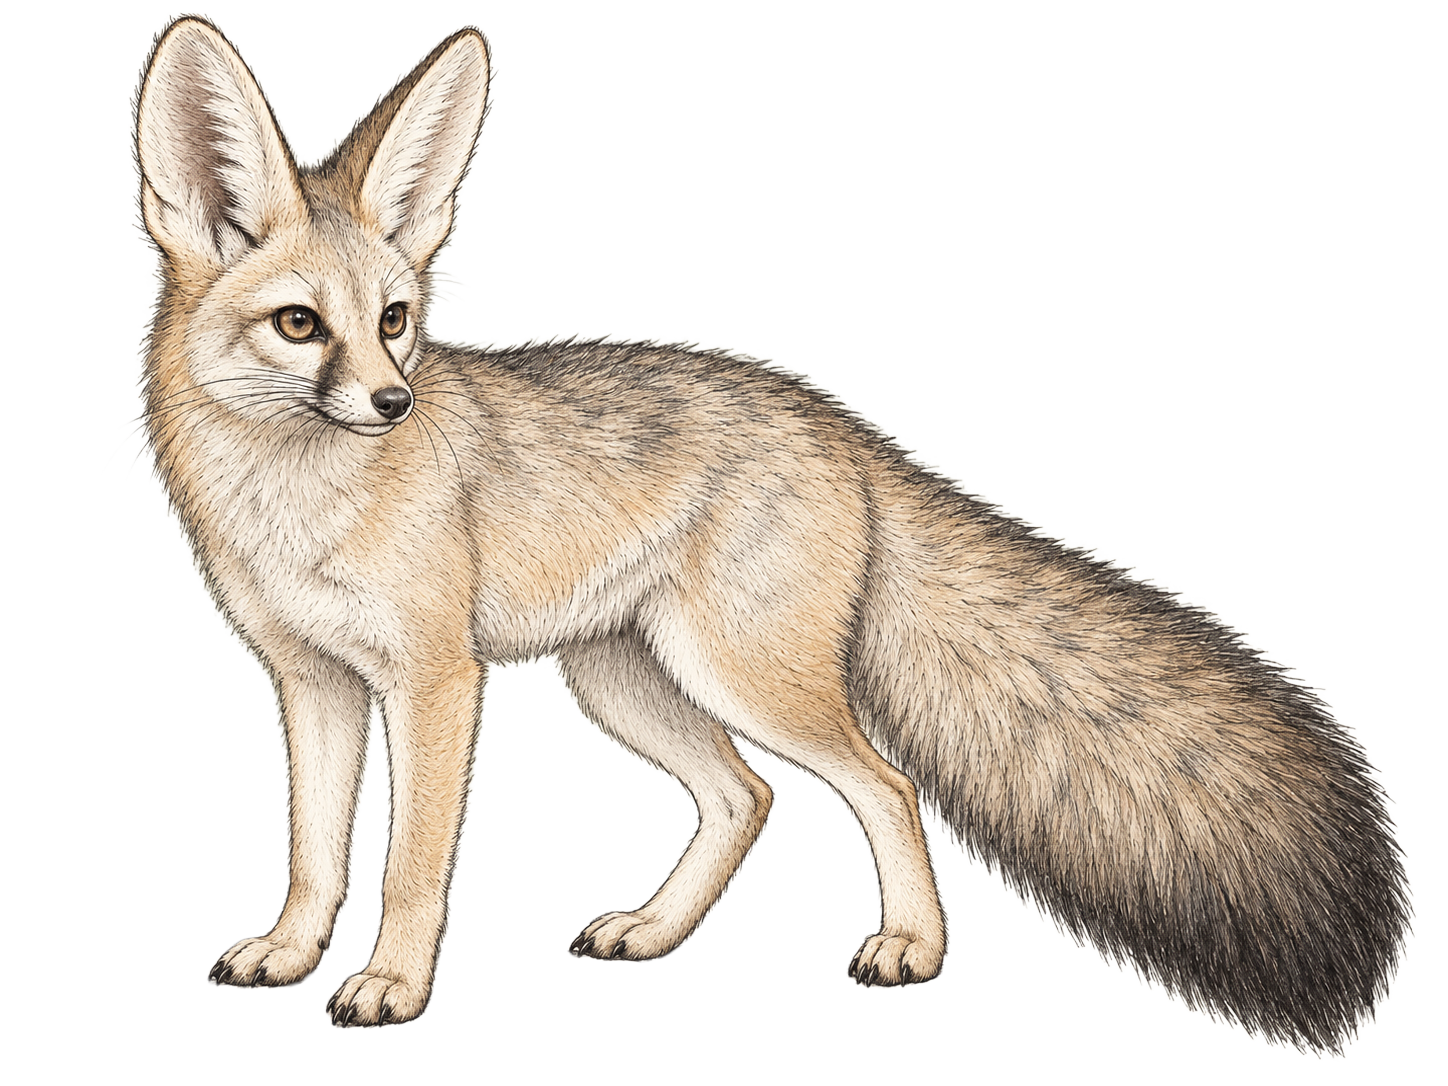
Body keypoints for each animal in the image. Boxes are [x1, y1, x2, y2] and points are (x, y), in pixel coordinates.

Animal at [129, 15, 1408, 1052]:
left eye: (394, 320)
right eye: (302, 325)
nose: (394, 402)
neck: (295, 507)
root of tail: (839, 425)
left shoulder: (435, 679)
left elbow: (407, 863)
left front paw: (393, 986)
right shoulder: (313, 681)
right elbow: (315, 850)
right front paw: (290, 956)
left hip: (741, 675)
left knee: (883, 782)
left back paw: (909, 950)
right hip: (628, 679)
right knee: (743, 797)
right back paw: (654, 932)